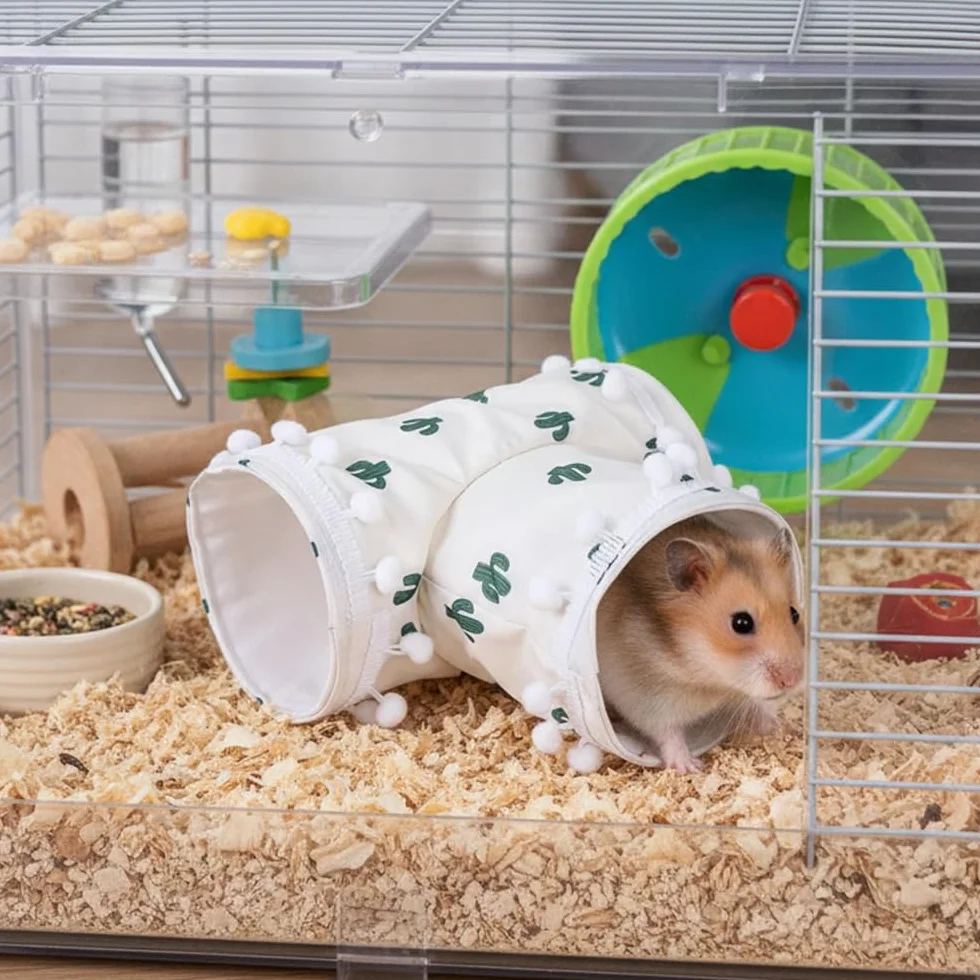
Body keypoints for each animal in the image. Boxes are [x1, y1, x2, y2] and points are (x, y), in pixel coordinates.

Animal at [597, 514, 804, 774]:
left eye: (794, 613)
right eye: (741, 623)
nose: (791, 681)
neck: (708, 680)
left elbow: (758, 709)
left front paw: (788, 728)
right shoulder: (647, 697)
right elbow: (668, 732)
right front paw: (691, 768)